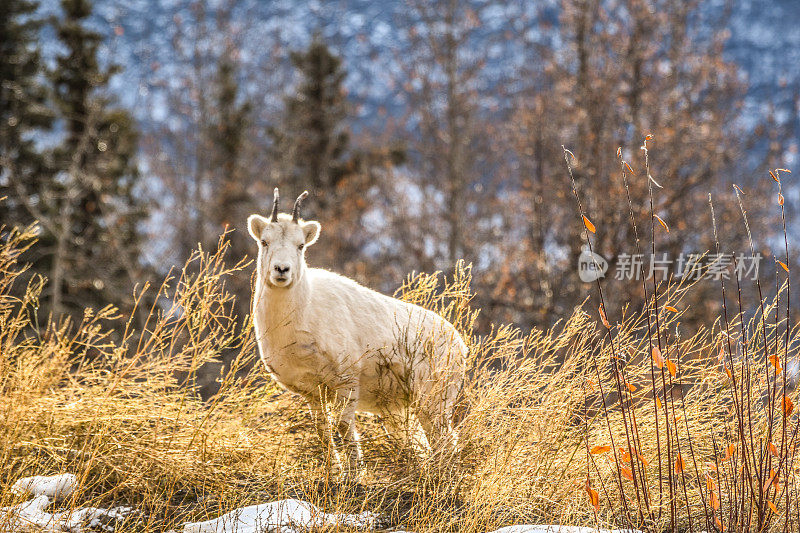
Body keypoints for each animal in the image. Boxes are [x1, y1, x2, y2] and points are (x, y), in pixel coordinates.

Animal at [247, 189, 466, 476]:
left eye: (300, 245)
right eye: (264, 241)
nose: (281, 270)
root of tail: (460, 345)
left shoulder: (346, 381)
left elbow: (342, 426)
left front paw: (354, 476)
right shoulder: (312, 392)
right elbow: (323, 432)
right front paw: (334, 473)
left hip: (433, 401)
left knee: (445, 441)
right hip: (398, 412)